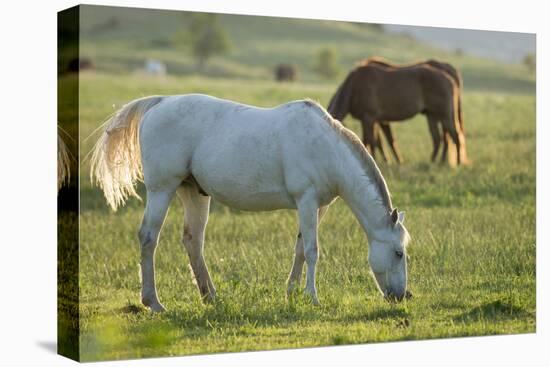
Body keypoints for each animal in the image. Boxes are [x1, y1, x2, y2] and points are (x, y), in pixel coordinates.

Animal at [90, 93, 412, 312]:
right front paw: (312, 297)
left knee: (193, 241)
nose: (402, 296)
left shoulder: (318, 207)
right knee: (148, 238)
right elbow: (312, 251)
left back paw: (210, 297)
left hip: (193, 193)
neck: (326, 147)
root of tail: (160, 103)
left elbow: (299, 250)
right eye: (398, 253)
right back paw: (153, 302)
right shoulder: (306, 201)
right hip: (162, 189)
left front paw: (292, 293)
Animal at [330, 59, 468, 165]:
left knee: (455, 136)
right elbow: (378, 141)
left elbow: (370, 142)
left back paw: (457, 163)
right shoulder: (374, 121)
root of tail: (449, 78)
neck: (355, 86)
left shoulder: (369, 119)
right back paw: (433, 161)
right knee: (438, 139)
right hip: (432, 116)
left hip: (445, 116)